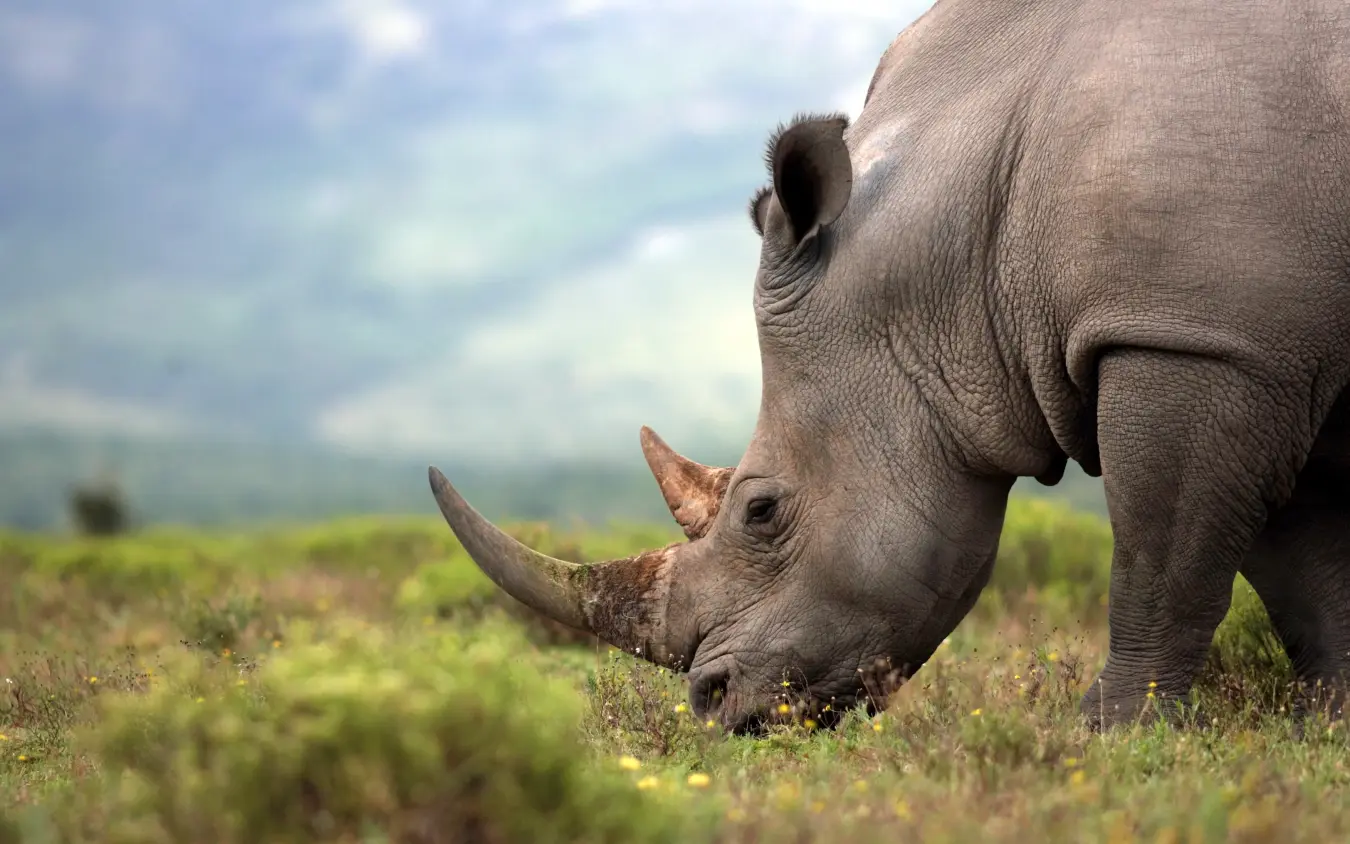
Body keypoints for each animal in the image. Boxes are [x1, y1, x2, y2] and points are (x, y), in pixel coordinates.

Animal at [428, 0, 1350, 733]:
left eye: (761, 511)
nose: (711, 703)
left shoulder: (1192, 336)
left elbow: (1162, 558)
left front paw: (1112, 738)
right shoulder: (1259, 348)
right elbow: (1301, 568)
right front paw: (1327, 727)